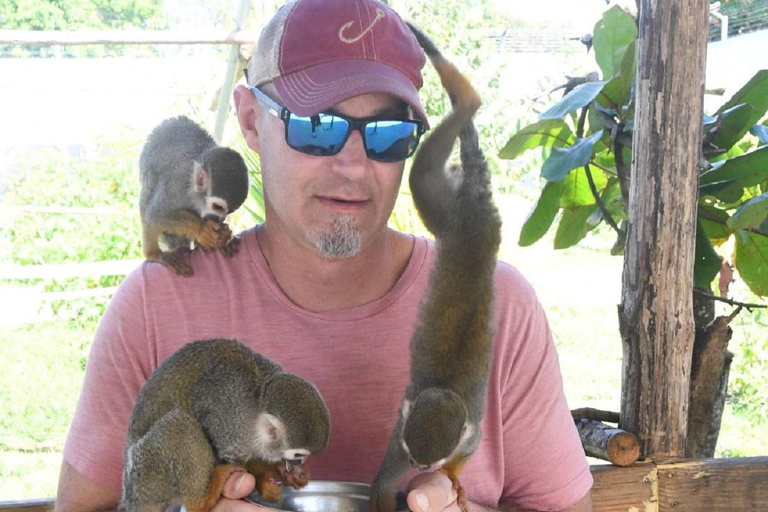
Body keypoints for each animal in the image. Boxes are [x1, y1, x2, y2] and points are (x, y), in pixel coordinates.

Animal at [120, 338, 331, 512]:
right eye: (298, 455)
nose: (297, 464)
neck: (257, 405)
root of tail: (132, 496)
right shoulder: (230, 425)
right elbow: (231, 455)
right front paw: (267, 475)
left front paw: (285, 474)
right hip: (147, 472)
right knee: (179, 424)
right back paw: (201, 501)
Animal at [139, 116, 249, 277]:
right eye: (217, 207)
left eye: (228, 212)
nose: (219, 219)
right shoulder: (178, 185)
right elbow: (156, 214)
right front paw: (202, 228)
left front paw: (225, 237)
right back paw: (154, 254)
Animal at [370, 24, 502, 512]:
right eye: (412, 456)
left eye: (427, 462)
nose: (420, 467)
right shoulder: (398, 433)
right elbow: (383, 485)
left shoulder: (467, 435)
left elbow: (467, 451)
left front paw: (453, 479)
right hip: (459, 212)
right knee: (424, 172)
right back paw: (467, 100)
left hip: (453, 212)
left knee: (422, 173)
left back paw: (467, 100)